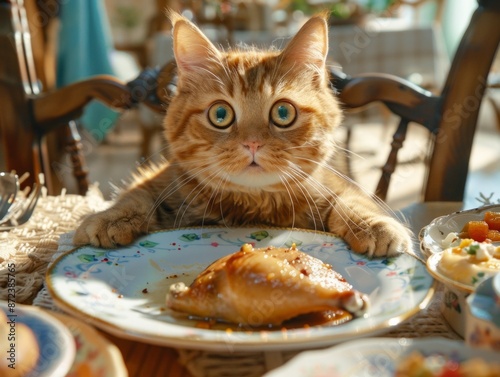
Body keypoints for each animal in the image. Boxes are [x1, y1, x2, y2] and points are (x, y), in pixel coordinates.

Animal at [74, 13, 410, 258]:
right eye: (220, 115)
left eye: (283, 113)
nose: (252, 143)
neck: (252, 206)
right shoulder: (163, 179)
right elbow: (136, 195)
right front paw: (109, 217)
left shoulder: (332, 184)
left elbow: (352, 200)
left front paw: (372, 224)